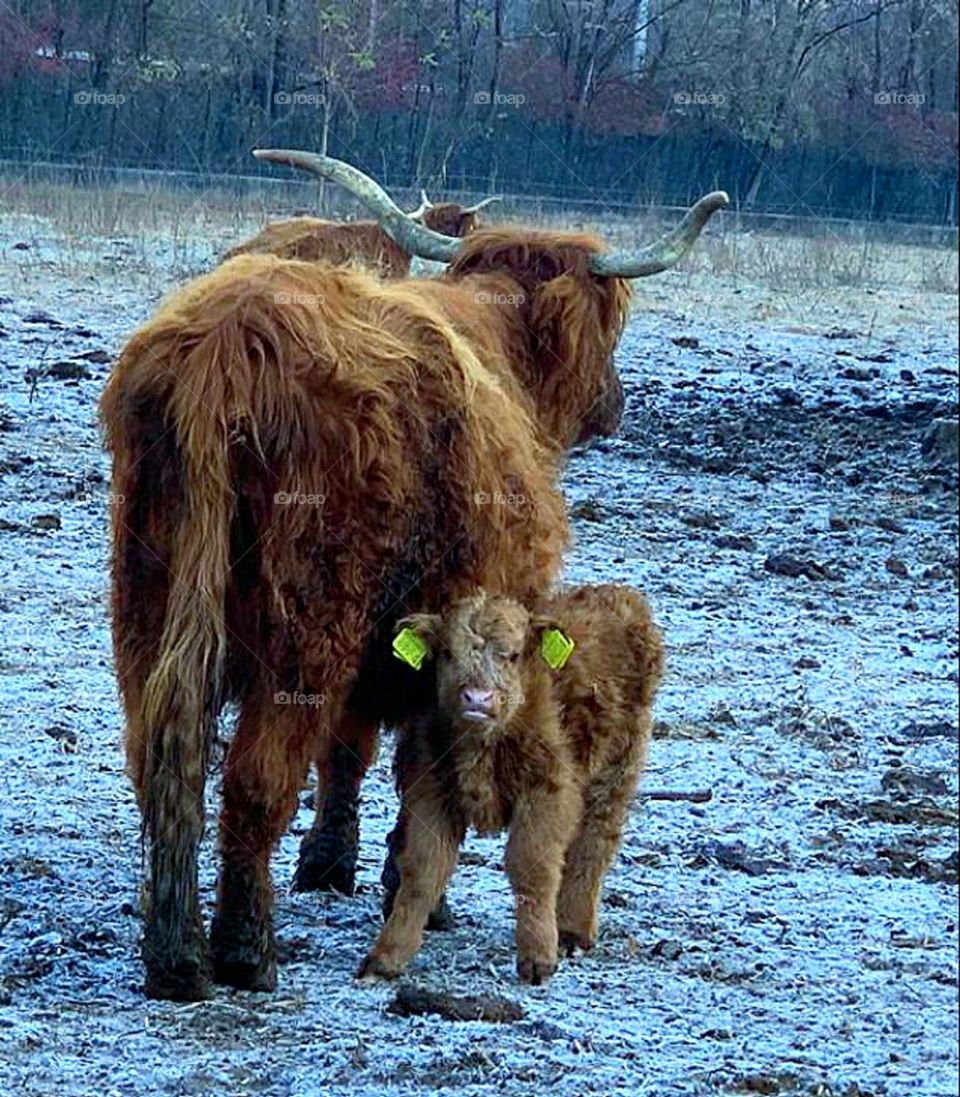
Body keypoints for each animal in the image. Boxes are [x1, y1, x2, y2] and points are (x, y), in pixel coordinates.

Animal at [357, 583, 662, 987]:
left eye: (514, 655)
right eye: (448, 652)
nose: (478, 698)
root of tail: (617, 594)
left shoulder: (547, 791)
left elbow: (532, 867)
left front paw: (538, 958)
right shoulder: (430, 793)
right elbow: (422, 873)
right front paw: (387, 956)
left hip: (618, 770)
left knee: (593, 849)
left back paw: (572, 932)